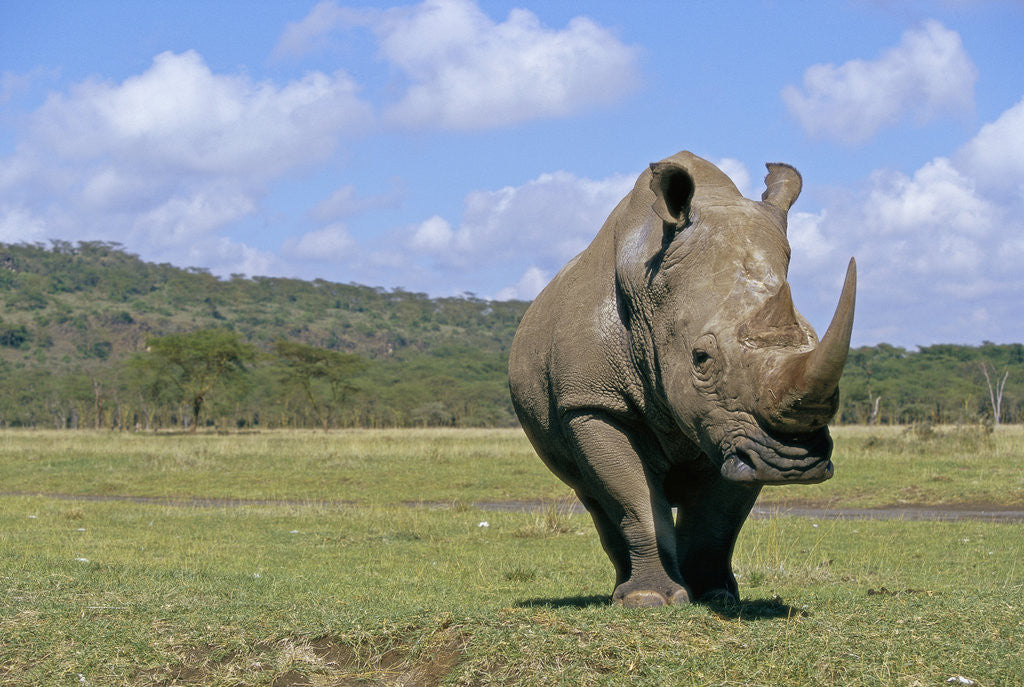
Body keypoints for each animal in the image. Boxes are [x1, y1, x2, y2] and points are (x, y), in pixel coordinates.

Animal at [508, 151, 855, 607]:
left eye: (811, 341)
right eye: (701, 359)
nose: (792, 462)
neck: (653, 292)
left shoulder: (735, 430)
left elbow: (719, 515)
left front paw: (716, 597)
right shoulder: (591, 403)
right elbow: (635, 499)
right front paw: (649, 601)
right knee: (596, 499)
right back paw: (622, 592)